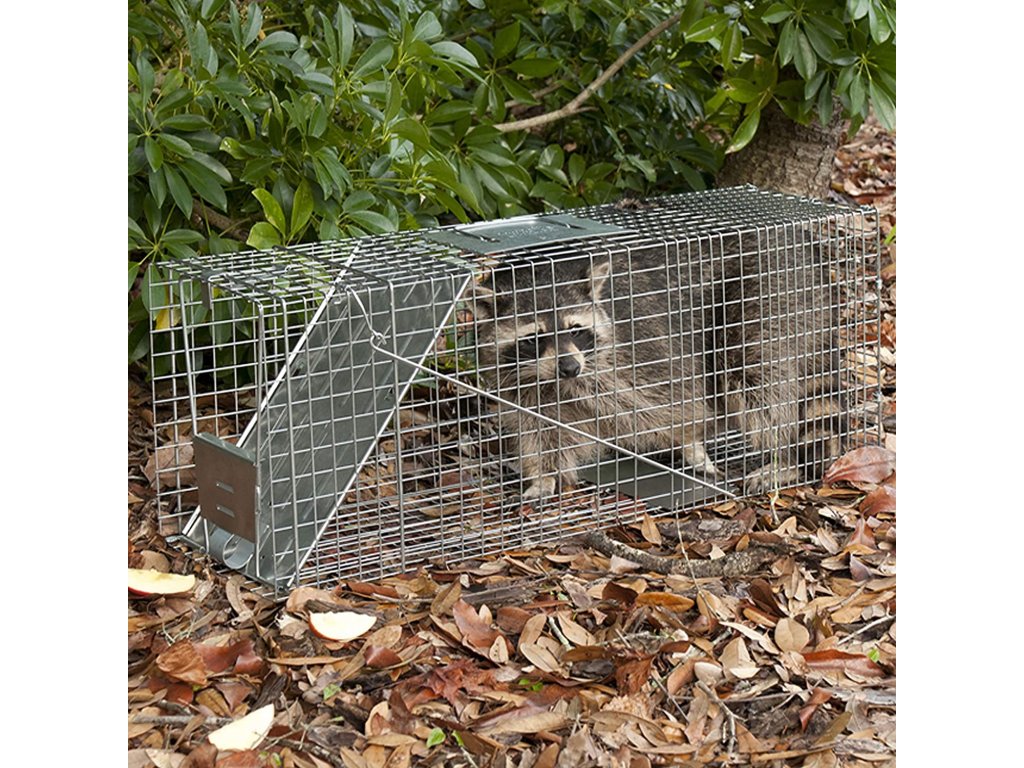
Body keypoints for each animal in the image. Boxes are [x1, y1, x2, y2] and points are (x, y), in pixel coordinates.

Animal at [471, 243, 720, 501]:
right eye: (533, 338)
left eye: (575, 330)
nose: (570, 368)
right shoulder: (518, 386)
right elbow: (538, 429)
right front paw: (543, 475)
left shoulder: (643, 348)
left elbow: (673, 400)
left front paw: (690, 442)